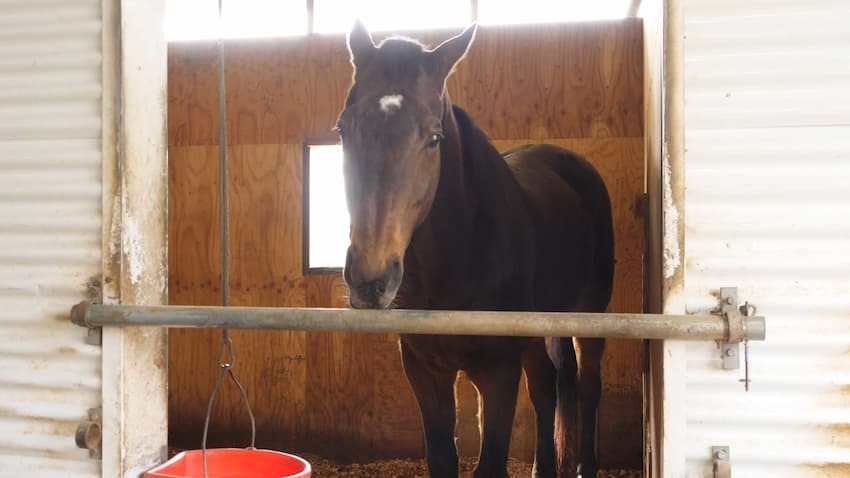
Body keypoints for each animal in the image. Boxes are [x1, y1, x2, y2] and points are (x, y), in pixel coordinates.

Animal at [336, 22, 615, 478]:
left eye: (434, 137)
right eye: (343, 129)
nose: (370, 280)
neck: (459, 256)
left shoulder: (498, 371)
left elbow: (490, 462)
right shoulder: (424, 369)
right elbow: (442, 457)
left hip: (591, 314)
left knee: (588, 387)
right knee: (547, 388)